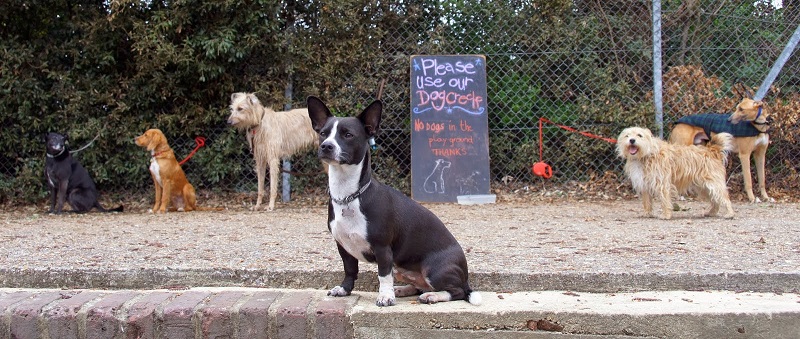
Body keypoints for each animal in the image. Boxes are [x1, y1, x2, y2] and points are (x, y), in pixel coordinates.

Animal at [306, 96, 482, 308]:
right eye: (323, 134)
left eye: (348, 135)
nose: (326, 146)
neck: (349, 194)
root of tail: (465, 277)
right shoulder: (344, 247)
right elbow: (350, 270)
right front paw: (345, 289)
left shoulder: (383, 249)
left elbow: (383, 275)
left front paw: (385, 297)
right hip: (401, 268)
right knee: (419, 286)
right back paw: (404, 290)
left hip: (433, 269)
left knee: (457, 291)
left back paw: (433, 296)